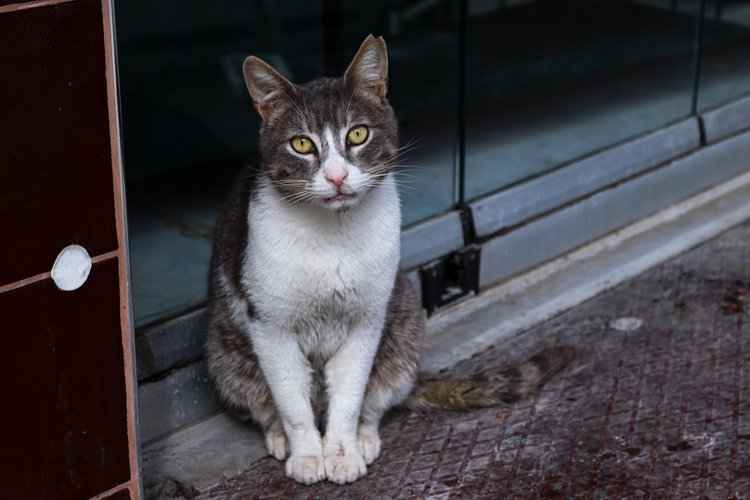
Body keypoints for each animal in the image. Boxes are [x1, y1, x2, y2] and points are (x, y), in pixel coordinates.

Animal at [206, 34, 576, 484]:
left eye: (358, 134)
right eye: (302, 144)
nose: (337, 177)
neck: (334, 234)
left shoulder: (368, 318)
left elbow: (350, 396)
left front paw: (343, 453)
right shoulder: (270, 326)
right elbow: (292, 402)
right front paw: (308, 454)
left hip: (405, 321)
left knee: (377, 396)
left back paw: (364, 437)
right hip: (225, 354)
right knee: (265, 401)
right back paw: (278, 436)